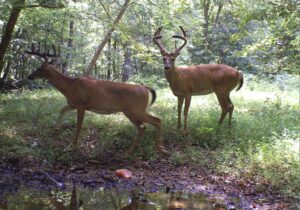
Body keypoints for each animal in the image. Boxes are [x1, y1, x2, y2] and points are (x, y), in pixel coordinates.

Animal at [26, 43, 166, 155]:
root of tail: (145, 88)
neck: (69, 86)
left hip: (135, 110)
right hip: (131, 112)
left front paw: (73, 146)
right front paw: (56, 130)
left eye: (40, 68)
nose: (29, 76)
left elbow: (79, 125)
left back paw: (159, 148)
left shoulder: (81, 104)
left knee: (156, 120)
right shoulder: (73, 104)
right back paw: (130, 151)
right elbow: (62, 109)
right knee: (143, 127)